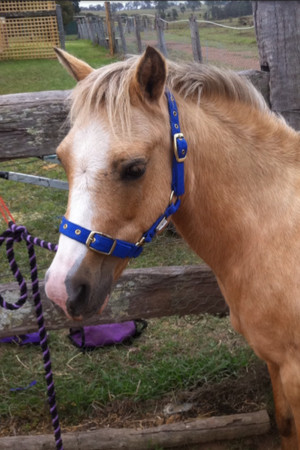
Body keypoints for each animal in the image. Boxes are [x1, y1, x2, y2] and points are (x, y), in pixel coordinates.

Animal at [45, 46, 300, 450]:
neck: (274, 229)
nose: (60, 288)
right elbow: (286, 426)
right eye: (62, 158)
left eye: (135, 168)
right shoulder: (275, 364)